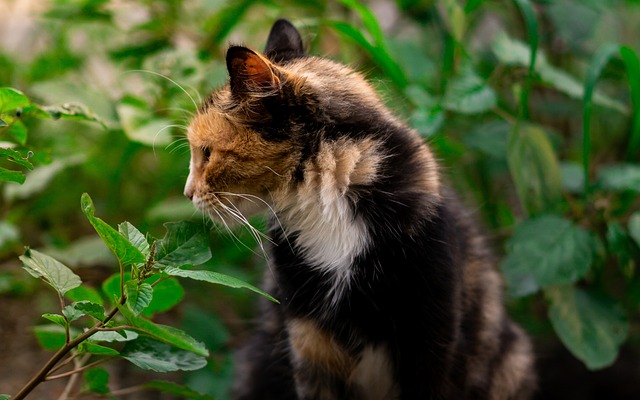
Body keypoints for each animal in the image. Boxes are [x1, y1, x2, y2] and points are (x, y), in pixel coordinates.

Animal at [184, 18, 536, 400]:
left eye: (207, 153)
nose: (187, 193)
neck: (327, 205)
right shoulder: (309, 337)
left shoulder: (430, 331)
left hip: (511, 360)